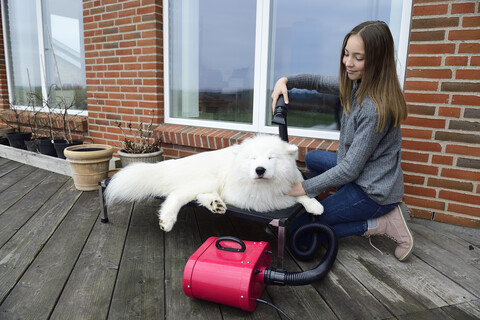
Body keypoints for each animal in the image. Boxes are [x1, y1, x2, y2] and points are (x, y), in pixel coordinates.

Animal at [105, 134, 322, 231]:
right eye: (252, 158)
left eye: (271, 158)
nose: (260, 170)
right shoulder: (249, 198)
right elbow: (284, 199)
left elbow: (300, 193)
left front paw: (314, 204)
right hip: (208, 179)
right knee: (177, 194)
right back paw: (167, 220)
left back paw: (215, 204)